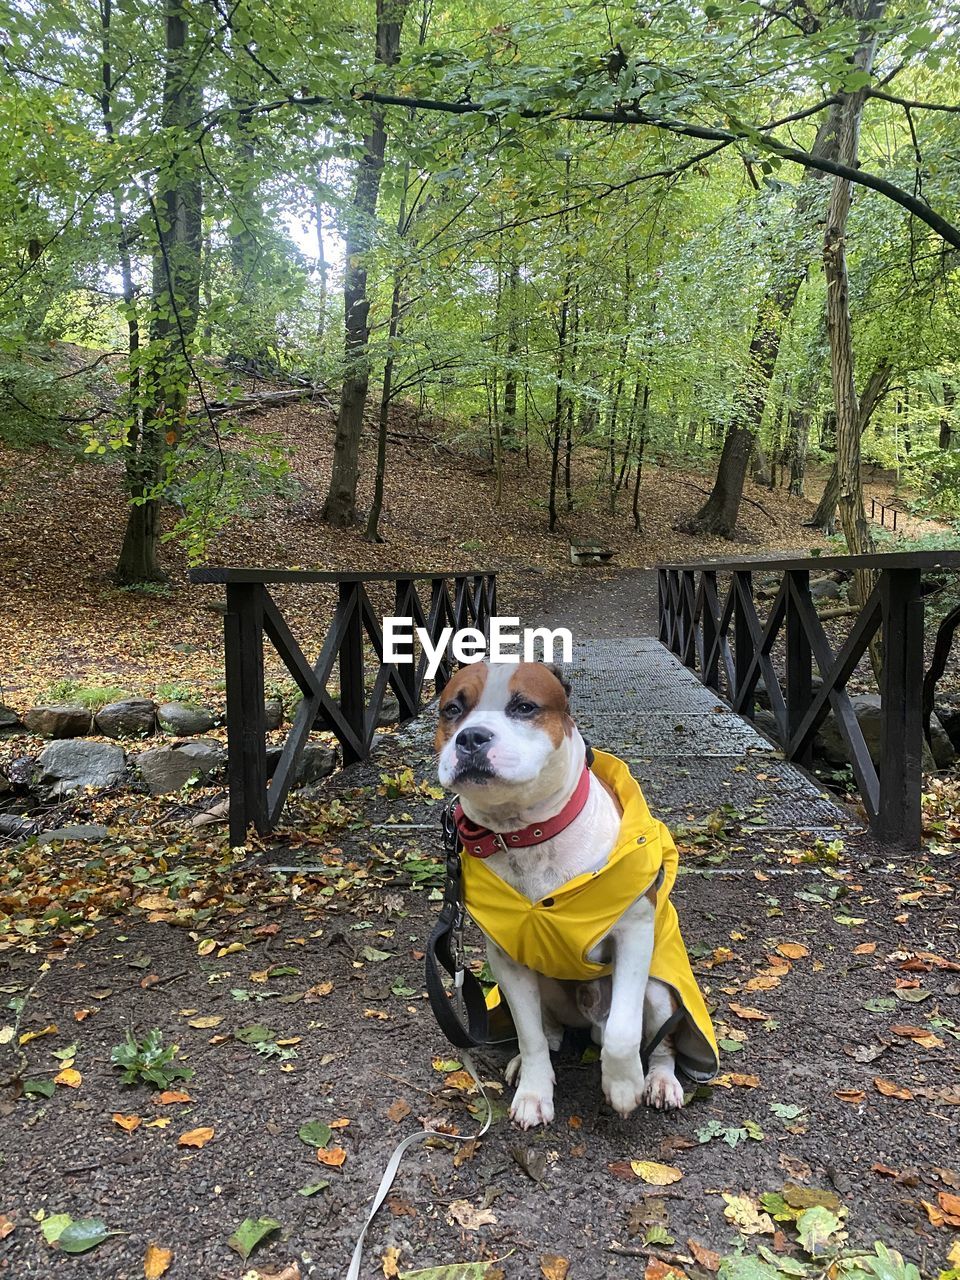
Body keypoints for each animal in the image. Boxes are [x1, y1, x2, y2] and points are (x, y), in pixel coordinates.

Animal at [435, 660, 716, 1131]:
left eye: (524, 707)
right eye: (453, 709)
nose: (471, 737)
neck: (526, 835)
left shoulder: (634, 933)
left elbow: (623, 1032)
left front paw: (623, 1085)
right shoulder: (507, 959)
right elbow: (529, 1034)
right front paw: (534, 1090)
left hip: (660, 991)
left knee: (660, 1043)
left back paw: (659, 1081)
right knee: (546, 1031)